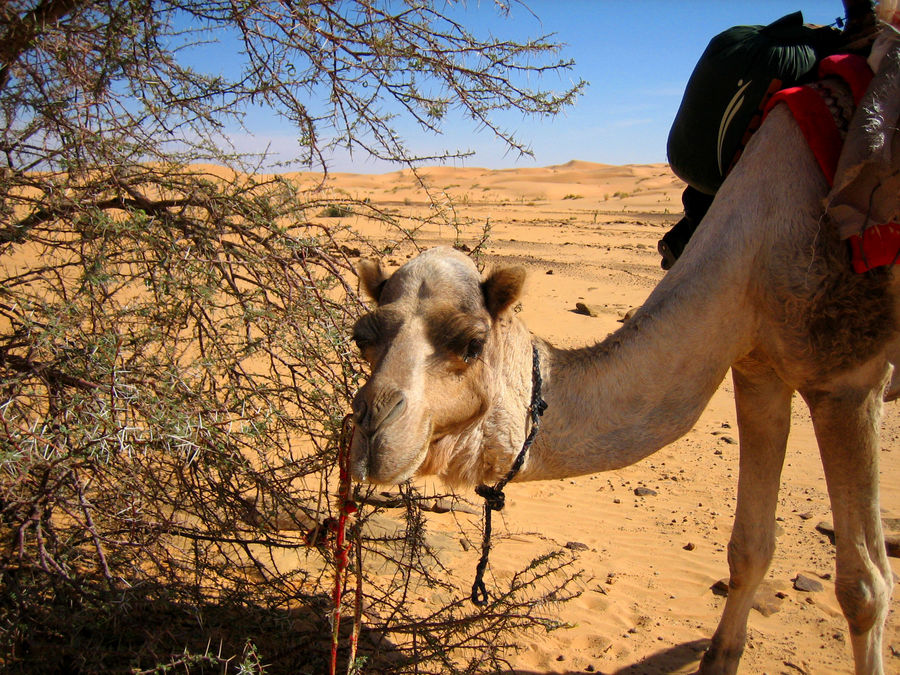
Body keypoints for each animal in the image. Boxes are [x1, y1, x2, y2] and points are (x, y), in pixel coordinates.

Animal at [348, 31, 896, 675]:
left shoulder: (849, 380)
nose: (373, 430)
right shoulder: (756, 369)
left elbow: (865, 588)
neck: (759, 247)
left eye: (472, 344)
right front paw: (718, 658)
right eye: (362, 337)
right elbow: (750, 548)